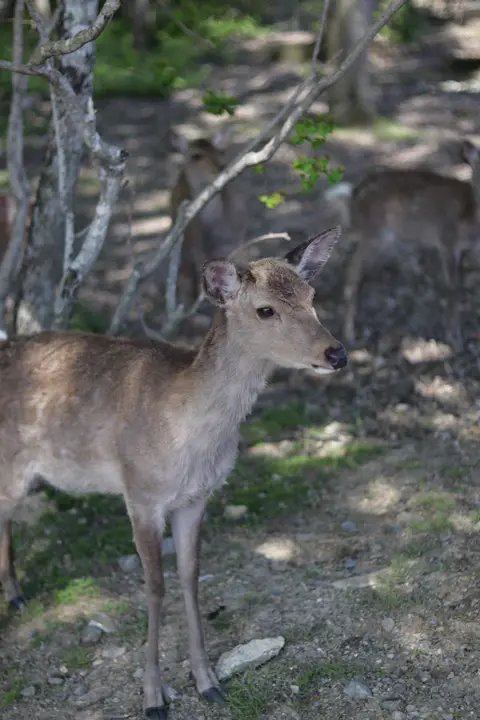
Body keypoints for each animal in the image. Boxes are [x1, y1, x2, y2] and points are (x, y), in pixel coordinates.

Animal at [0, 227, 347, 719]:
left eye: (312, 296)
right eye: (266, 309)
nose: (336, 353)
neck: (188, 435)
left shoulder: (197, 497)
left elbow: (190, 577)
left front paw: (208, 682)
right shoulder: (141, 493)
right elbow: (155, 587)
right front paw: (153, 697)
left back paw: (15, 594)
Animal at [324, 139, 480, 350]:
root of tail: (355, 194)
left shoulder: (463, 249)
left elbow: (460, 288)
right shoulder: (447, 241)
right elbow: (453, 289)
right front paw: (454, 338)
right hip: (374, 234)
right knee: (352, 273)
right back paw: (350, 335)